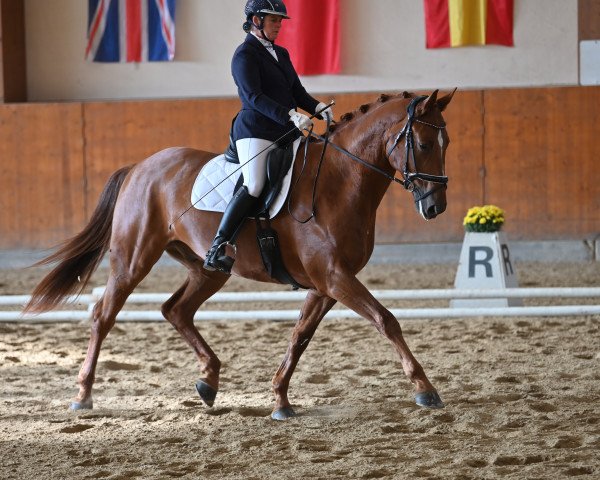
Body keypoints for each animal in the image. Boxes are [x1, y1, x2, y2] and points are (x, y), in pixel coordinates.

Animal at [23, 90, 454, 420]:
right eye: (423, 144)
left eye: (445, 144)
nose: (435, 207)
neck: (338, 181)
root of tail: (139, 167)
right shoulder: (334, 277)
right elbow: (387, 320)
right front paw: (426, 389)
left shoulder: (326, 284)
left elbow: (299, 336)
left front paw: (280, 400)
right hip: (132, 260)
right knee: (103, 316)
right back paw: (83, 395)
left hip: (208, 270)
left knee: (175, 310)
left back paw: (208, 381)